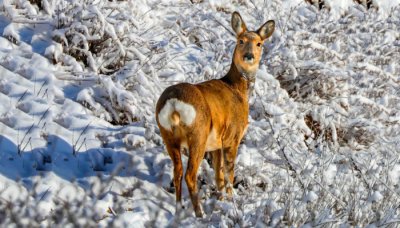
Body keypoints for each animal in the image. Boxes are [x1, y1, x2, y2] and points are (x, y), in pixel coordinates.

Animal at [155, 11, 274, 217]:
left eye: (259, 43)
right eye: (241, 40)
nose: (249, 56)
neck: (237, 89)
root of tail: (173, 104)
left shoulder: (216, 143)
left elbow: (218, 176)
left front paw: (221, 199)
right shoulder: (232, 136)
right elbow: (228, 174)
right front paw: (231, 201)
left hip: (168, 135)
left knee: (177, 171)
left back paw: (179, 210)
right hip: (198, 134)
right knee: (190, 174)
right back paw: (199, 213)